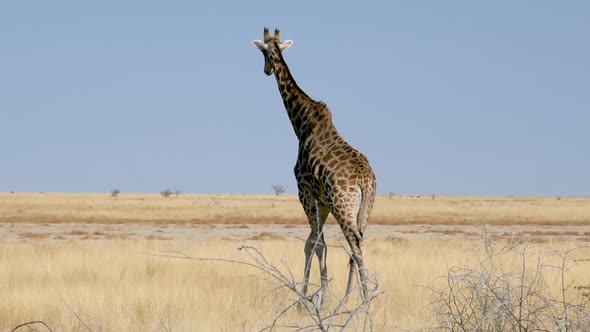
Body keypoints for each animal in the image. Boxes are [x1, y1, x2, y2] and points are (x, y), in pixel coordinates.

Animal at [252, 28, 376, 302]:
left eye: (263, 53)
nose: (266, 70)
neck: (301, 123)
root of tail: (365, 181)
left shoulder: (305, 191)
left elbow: (316, 244)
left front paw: (314, 297)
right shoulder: (322, 200)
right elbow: (313, 243)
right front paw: (314, 295)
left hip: (343, 206)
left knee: (354, 244)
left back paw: (363, 302)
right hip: (364, 209)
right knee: (359, 243)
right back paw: (351, 299)